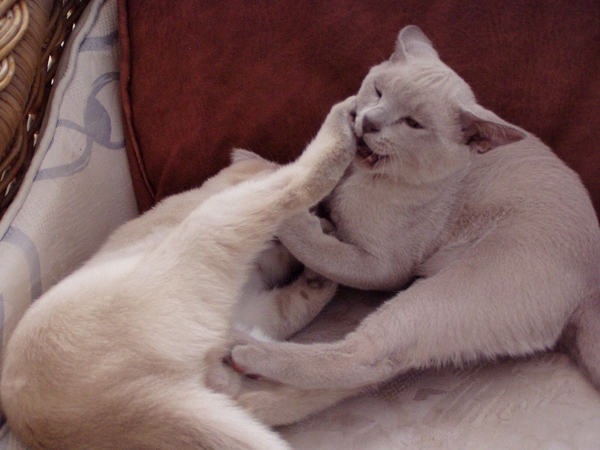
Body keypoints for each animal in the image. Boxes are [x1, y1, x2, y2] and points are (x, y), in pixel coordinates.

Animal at [0, 98, 356, 450]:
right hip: (215, 223)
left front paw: (317, 256)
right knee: (300, 179)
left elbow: (289, 292)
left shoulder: (254, 298)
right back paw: (344, 114)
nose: (321, 218)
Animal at [230, 27, 600, 400]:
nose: (369, 121)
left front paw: (284, 199)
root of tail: (592, 288)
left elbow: (318, 244)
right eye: (379, 91)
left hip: (445, 290)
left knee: (366, 358)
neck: (358, 177)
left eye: (412, 123)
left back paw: (244, 351)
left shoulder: (383, 268)